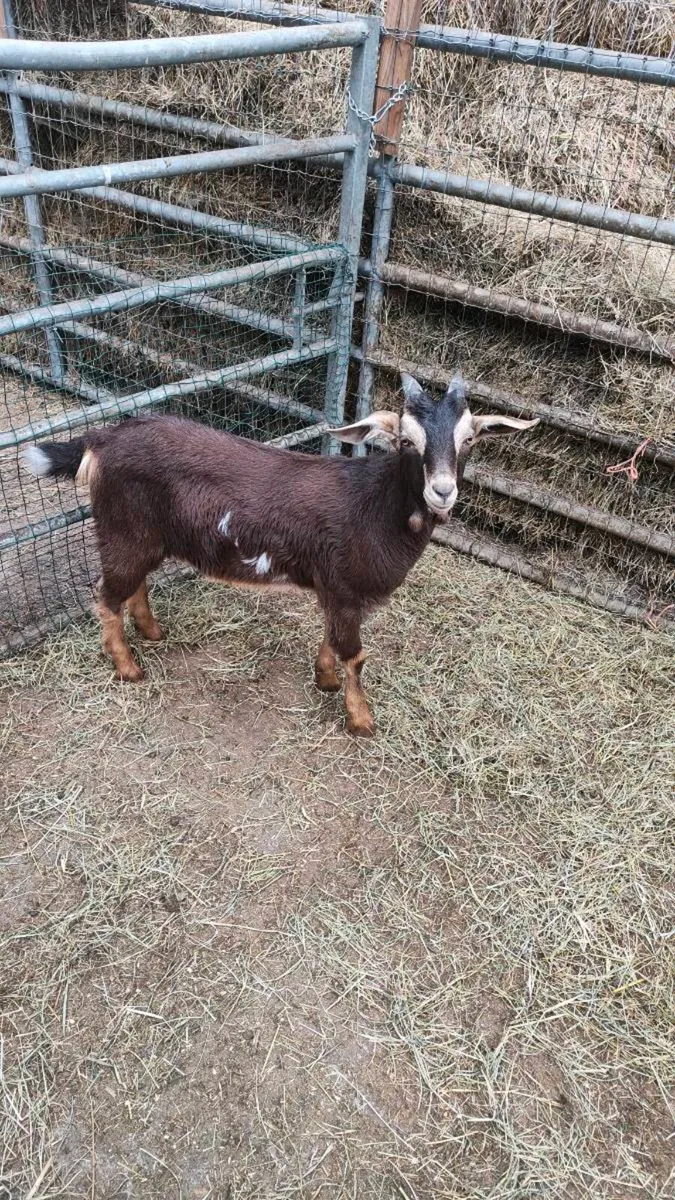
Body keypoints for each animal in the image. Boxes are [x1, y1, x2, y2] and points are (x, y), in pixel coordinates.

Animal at [22, 373, 538, 736]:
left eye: (469, 439)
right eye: (407, 441)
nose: (442, 491)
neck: (375, 504)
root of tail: (101, 439)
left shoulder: (335, 590)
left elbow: (332, 639)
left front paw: (325, 679)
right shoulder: (346, 588)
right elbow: (355, 655)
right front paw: (360, 720)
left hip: (145, 535)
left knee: (135, 585)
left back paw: (151, 632)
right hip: (123, 532)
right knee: (106, 596)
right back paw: (129, 667)